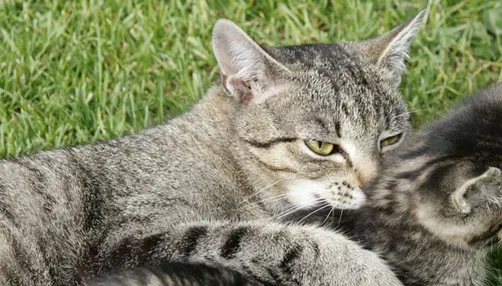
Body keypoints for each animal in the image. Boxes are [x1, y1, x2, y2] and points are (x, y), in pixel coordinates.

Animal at [0, 11, 424, 286]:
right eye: (321, 146)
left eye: (390, 139)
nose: (375, 184)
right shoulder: (127, 239)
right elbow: (281, 240)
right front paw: (368, 272)